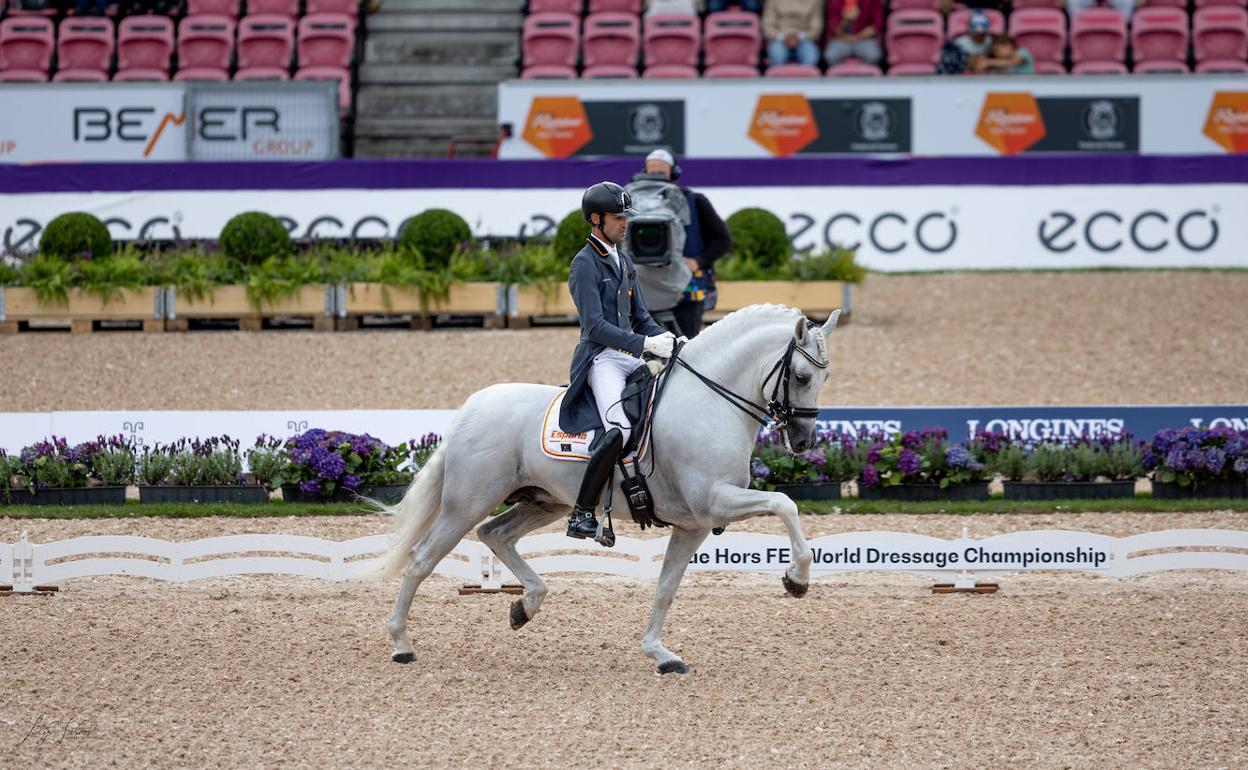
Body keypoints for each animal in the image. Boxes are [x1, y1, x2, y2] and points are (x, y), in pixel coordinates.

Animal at [369, 302, 838, 673]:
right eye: (800, 376)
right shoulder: (714, 502)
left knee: (495, 534)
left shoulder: (695, 524)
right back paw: (401, 645)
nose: (802, 441)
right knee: (421, 559)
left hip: (543, 503)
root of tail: (470, 408)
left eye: (824, 378)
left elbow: (666, 587)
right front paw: (796, 579)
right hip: (466, 503)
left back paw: (525, 605)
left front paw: (660, 654)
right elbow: (785, 503)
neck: (708, 401)